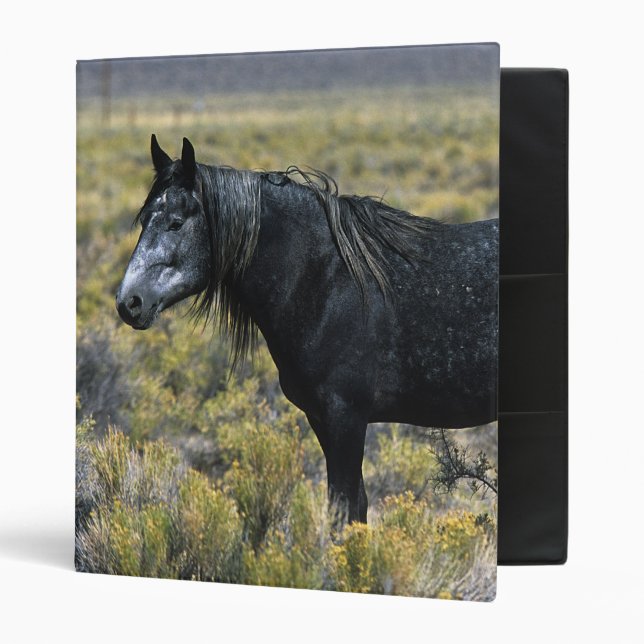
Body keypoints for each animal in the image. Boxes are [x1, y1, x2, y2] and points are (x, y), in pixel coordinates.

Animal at [116, 135, 498, 523]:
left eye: (176, 223)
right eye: (145, 218)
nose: (129, 302)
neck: (326, 279)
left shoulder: (346, 418)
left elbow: (343, 509)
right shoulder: (321, 419)